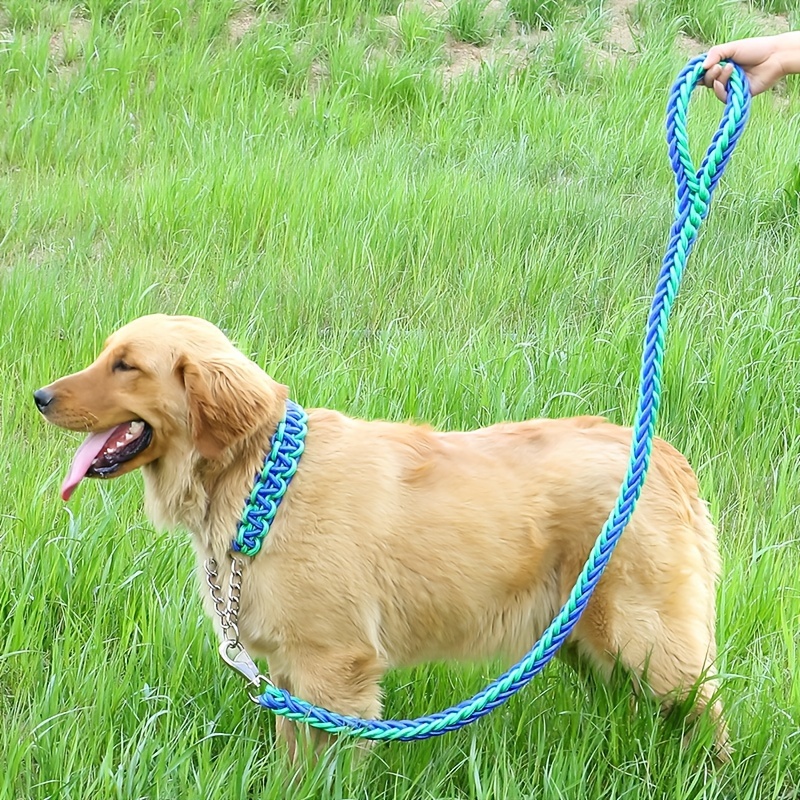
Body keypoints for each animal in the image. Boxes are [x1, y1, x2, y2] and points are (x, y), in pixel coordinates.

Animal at [34, 316, 728, 760]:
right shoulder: (288, 670)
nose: (38, 396)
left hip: (647, 642)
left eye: (126, 365)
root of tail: (662, 456)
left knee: (708, 715)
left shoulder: (333, 667)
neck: (261, 481)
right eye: (106, 354)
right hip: (589, 644)